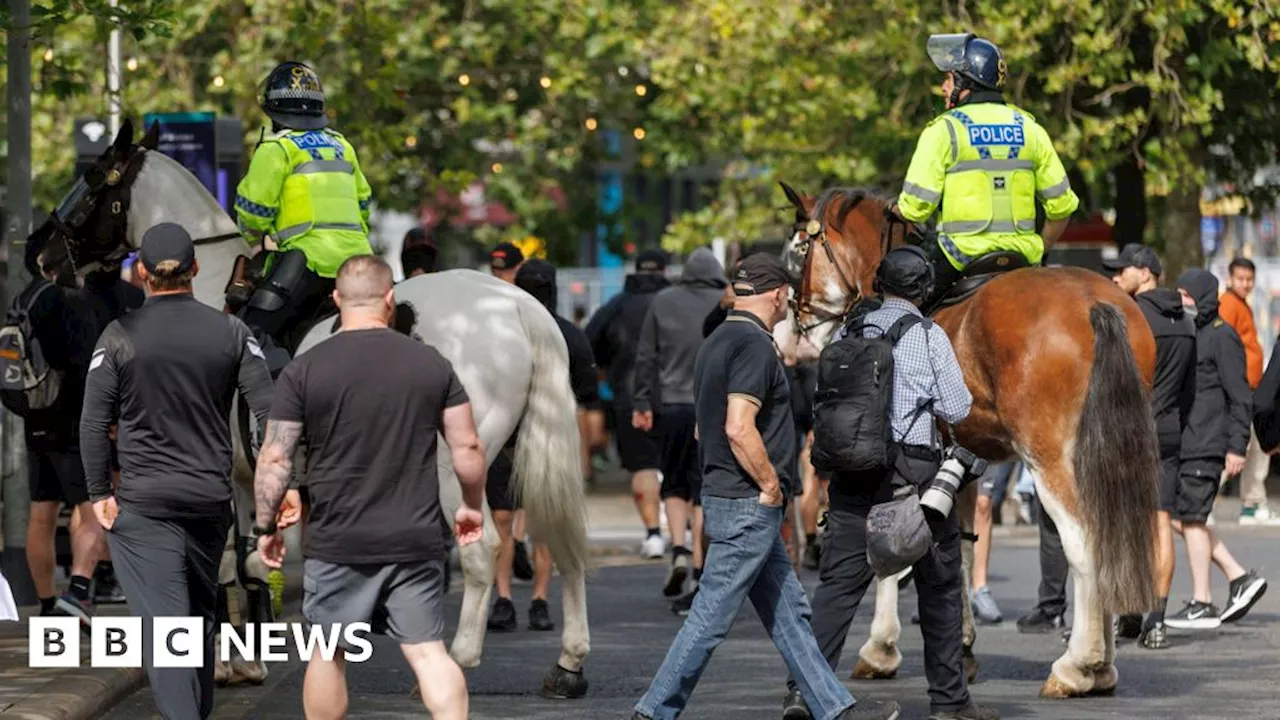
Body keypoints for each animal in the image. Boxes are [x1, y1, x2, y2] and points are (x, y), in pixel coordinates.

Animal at [62, 121, 591, 696]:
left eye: (90, 182)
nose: (38, 256)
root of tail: (515, 305)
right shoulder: (246, 475)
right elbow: (251, 562)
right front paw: (250, 658)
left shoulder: (212, 469)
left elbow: (221, 562)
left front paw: (224, 662)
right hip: (530, 451)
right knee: (564, 544)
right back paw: (569, 663)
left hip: (453, 466)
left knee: (482, 550)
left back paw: (459, 658)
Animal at [783, 181, 1167, 696]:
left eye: (798, 251)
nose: (797, 332)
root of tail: (1095, 304)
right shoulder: (959, 461)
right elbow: (958, 549)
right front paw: (961, 646)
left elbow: (890, 550)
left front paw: (881, 647)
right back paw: (1102, 665)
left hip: (1050, 460)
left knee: (1083, 540)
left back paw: (1078, 665)